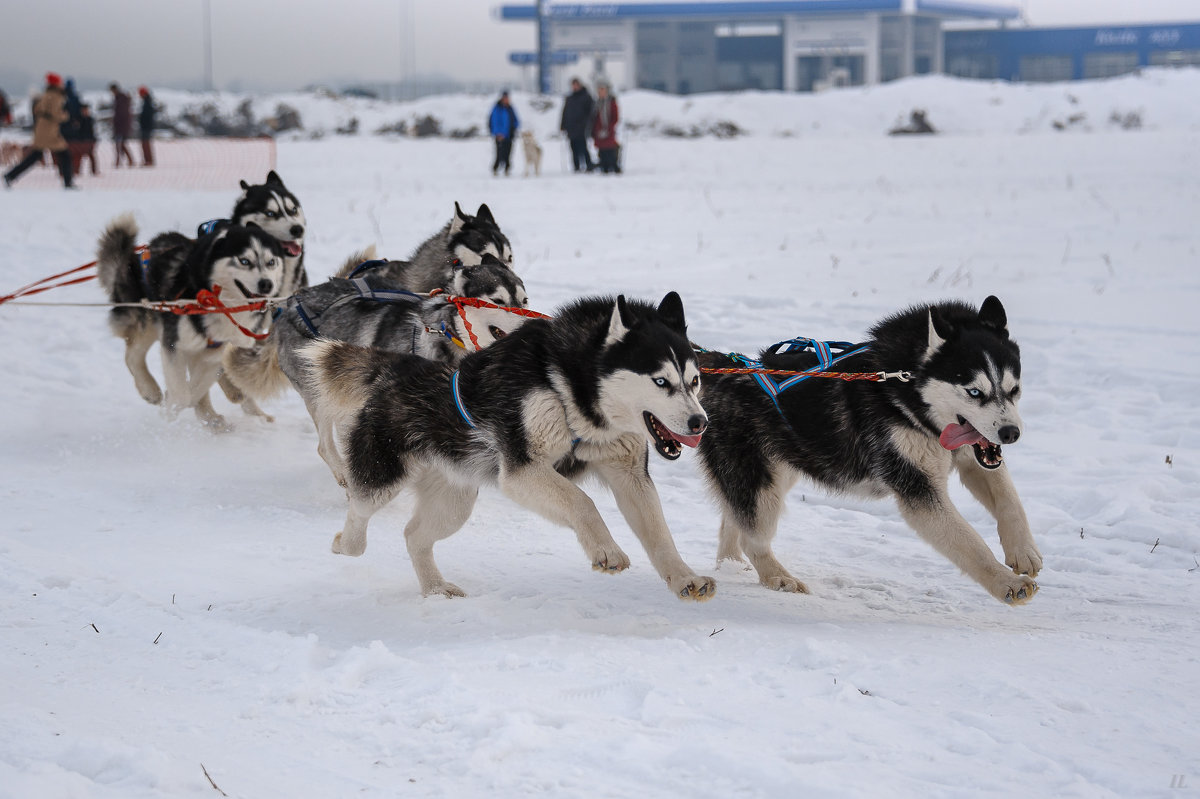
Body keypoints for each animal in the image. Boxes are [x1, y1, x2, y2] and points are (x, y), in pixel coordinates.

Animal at [96, 213, 285, 429]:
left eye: (271, 262)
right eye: (244, 261)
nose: (266, 284)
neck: (221, 303)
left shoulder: (215, 353)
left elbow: (196, 389)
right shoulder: (174, 344)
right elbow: (183, 395)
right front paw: (169, 411)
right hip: (147, 320)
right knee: (132, 356)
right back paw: (150, 390)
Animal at [296, 291, 715, 597]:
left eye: (694, 380)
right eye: (661, 381)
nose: (700, 423)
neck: (575, 389)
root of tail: (397, 369)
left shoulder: (628, 472)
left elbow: (659, 533)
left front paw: (684, 578)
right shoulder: (522, 470)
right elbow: (584, 503)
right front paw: (606, 550)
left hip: (456, 502)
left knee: (414, 536)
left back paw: (435, 588)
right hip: (384, 478)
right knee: (359, 511)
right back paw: (345, 543)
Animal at [696, 295, 1041, 599]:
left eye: (1014, 390)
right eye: (974, 392)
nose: (1011, 433)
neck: (904, 394)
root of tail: (723, 368)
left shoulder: (972, 456)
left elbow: (1009, 498)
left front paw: (1023, 550)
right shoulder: (917, 487)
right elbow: (970, 543)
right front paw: (1006, 583)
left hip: (777, 472)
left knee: (733, 520)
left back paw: (732, 566)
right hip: (762, 487)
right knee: (752, 538)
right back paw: (777, 576)